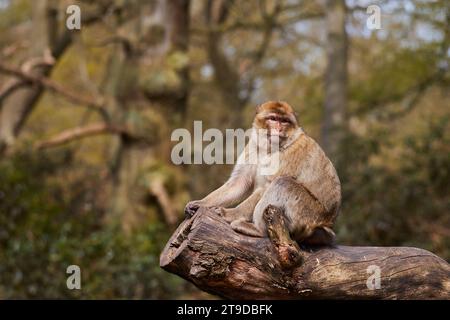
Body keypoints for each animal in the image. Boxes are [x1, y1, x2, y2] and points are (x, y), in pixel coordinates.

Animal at [184, 101, 342, 246]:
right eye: (273, 118)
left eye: (284, 121)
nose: (278, 128)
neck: (269, 148)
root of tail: (328, 223)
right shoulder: (253, 147)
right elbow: (238, 183)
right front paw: (201, 203)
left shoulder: (293, 151)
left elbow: (266, 186)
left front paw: (230, 214)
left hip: (308, 215)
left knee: (283, 183)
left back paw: (258, 230)